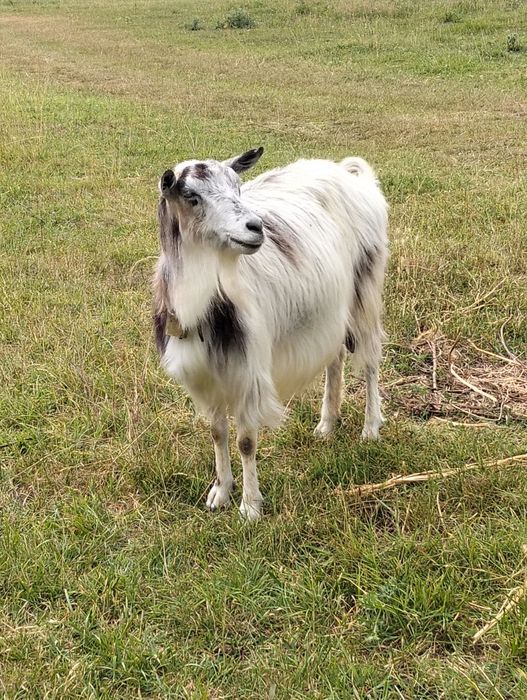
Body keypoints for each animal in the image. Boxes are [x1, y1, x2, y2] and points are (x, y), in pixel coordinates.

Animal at [153, 147, 388, 521]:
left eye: (238, 186)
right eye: (191, 197)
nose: (255, 227)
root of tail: (349, 174)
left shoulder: (249, 372)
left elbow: (246, 441)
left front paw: (250, 507)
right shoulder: (203, 375)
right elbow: (216, 432)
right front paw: (220, 492)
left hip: (364, 287)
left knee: (370, 359)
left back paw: (370, 428)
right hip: (328, 307)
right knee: (335, 356)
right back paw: (327, 425)